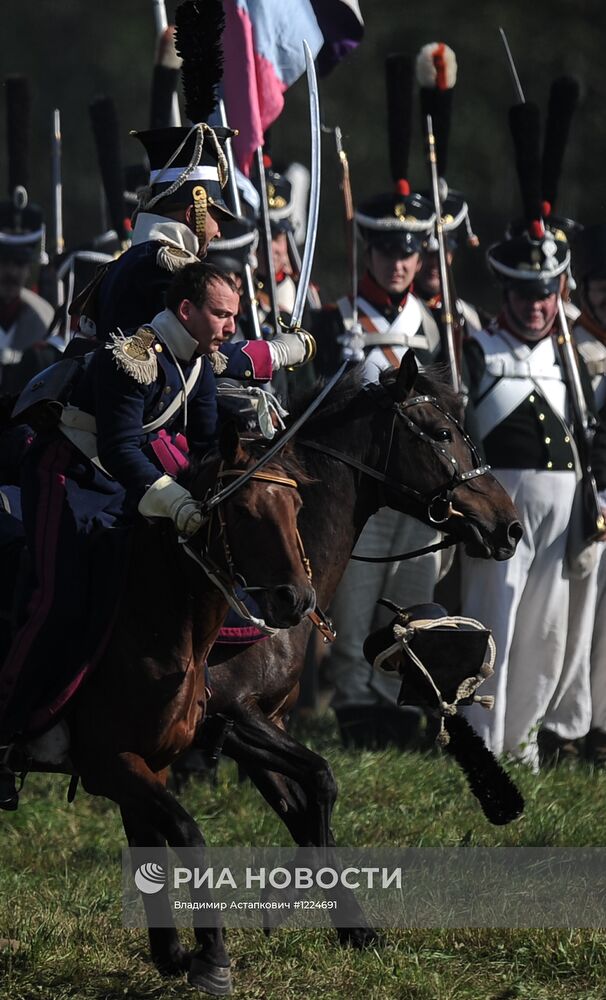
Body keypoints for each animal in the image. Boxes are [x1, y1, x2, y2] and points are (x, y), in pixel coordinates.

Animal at [9, 424, 316, 1000]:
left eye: (296, 506)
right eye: (243, 510)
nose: (296, 600)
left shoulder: (153, 762)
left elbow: (151, 842)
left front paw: (171, 952)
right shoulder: (111, 764)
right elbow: (188, 835)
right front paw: (211, 955)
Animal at [198, 358, 524, 944]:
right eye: (441, 434)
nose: (507, 526)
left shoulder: (254, 722)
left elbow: (302, 806)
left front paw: (318, 911)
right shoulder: (232, 713)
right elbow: (320, 784)